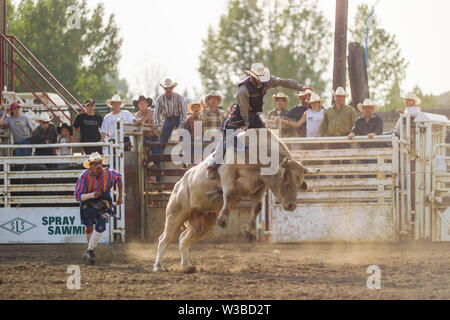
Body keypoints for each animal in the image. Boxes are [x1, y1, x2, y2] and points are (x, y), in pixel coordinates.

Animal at [153, 128, 314, 272]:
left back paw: (186, 266)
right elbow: (228, 193)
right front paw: (223, 219)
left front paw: (250, 232)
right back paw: (158, 266)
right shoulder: (227, 171)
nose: (291, 205)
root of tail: (178, 184)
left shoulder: (261, 185)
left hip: (203, 223)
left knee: (183, 239)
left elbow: (257, 206)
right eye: (285, 178)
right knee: (164, 239)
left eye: (300, 183)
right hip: (176, 213)